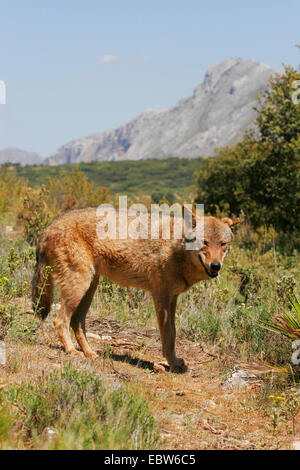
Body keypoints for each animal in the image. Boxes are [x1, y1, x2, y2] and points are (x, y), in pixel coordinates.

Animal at [32, 207, 239, 372]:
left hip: (89, 288)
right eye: (204, 242)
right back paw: (71, 351)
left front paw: (174, 361)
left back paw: (90, 353)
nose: (216, 266)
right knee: (60, 320)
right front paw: (172, 364)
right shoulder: (161, 297)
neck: (175, 247)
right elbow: (168, 335)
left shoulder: (172, 299)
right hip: (79, 287)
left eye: (223, 244)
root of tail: (48, 227)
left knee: (77, 322)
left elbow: (173, 334)